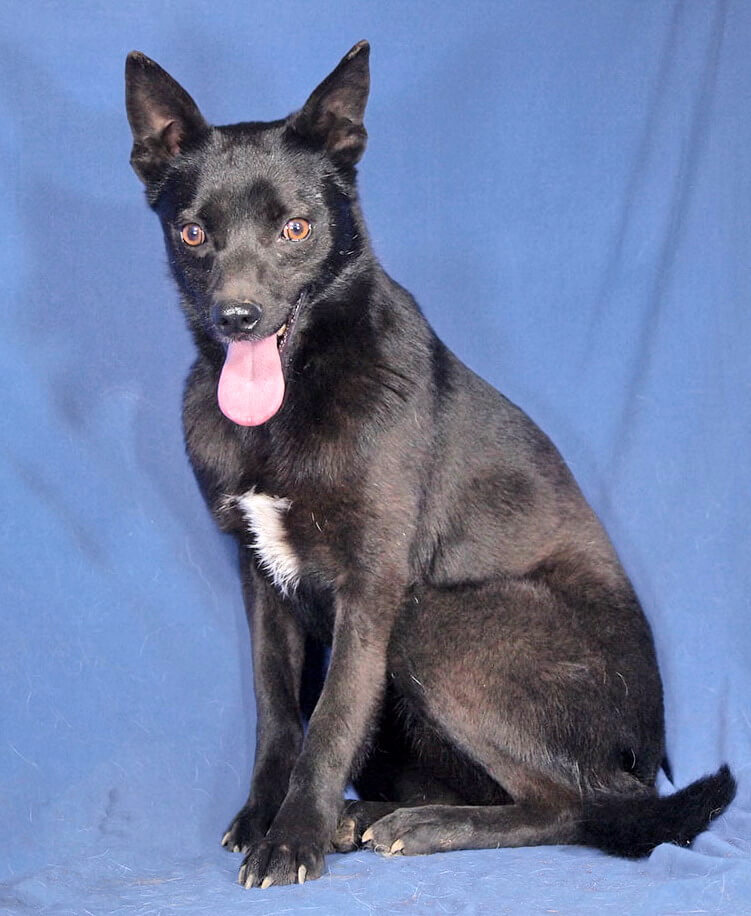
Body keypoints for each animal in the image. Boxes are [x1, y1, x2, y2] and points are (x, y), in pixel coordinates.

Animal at [125, 41, 735, 888]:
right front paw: (263, 817)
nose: (235, 318)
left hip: (437, 620)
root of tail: (644, 765)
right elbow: (277, 712)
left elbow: (330, 718)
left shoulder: (373, 586)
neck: (299, 394)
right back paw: (366, 816)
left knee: (571, 806)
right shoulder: (259, 580)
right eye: (191, 233)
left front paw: (293, 836)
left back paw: (422, 824)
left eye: (294, 228)